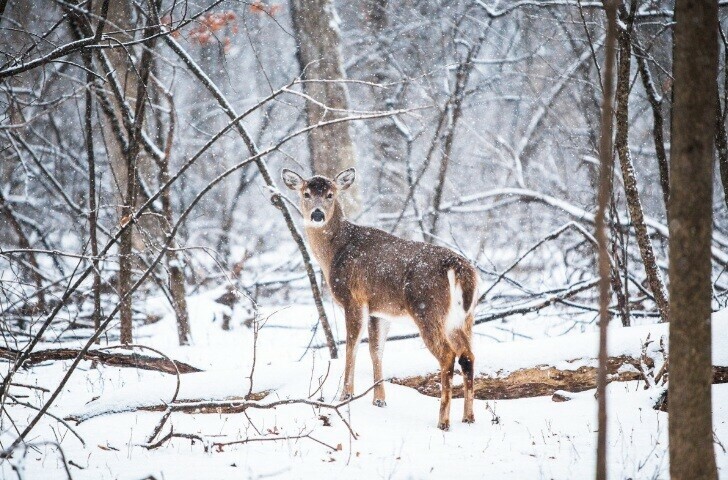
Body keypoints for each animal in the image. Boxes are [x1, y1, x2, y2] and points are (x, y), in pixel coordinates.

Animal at [282, 167, 480, 430]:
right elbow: (376, 350)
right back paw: (468, 417)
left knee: (448, 355)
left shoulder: (353, 298)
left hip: (427, 308)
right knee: (467, 356)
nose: (317, 214)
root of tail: (459, 268)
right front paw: (379, 400)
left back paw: (443, 421)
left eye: (330, 195)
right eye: (306, 193)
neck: (334, 252)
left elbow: (352, 347)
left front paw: (345, 395)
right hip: (464, 317)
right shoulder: (379, 310)